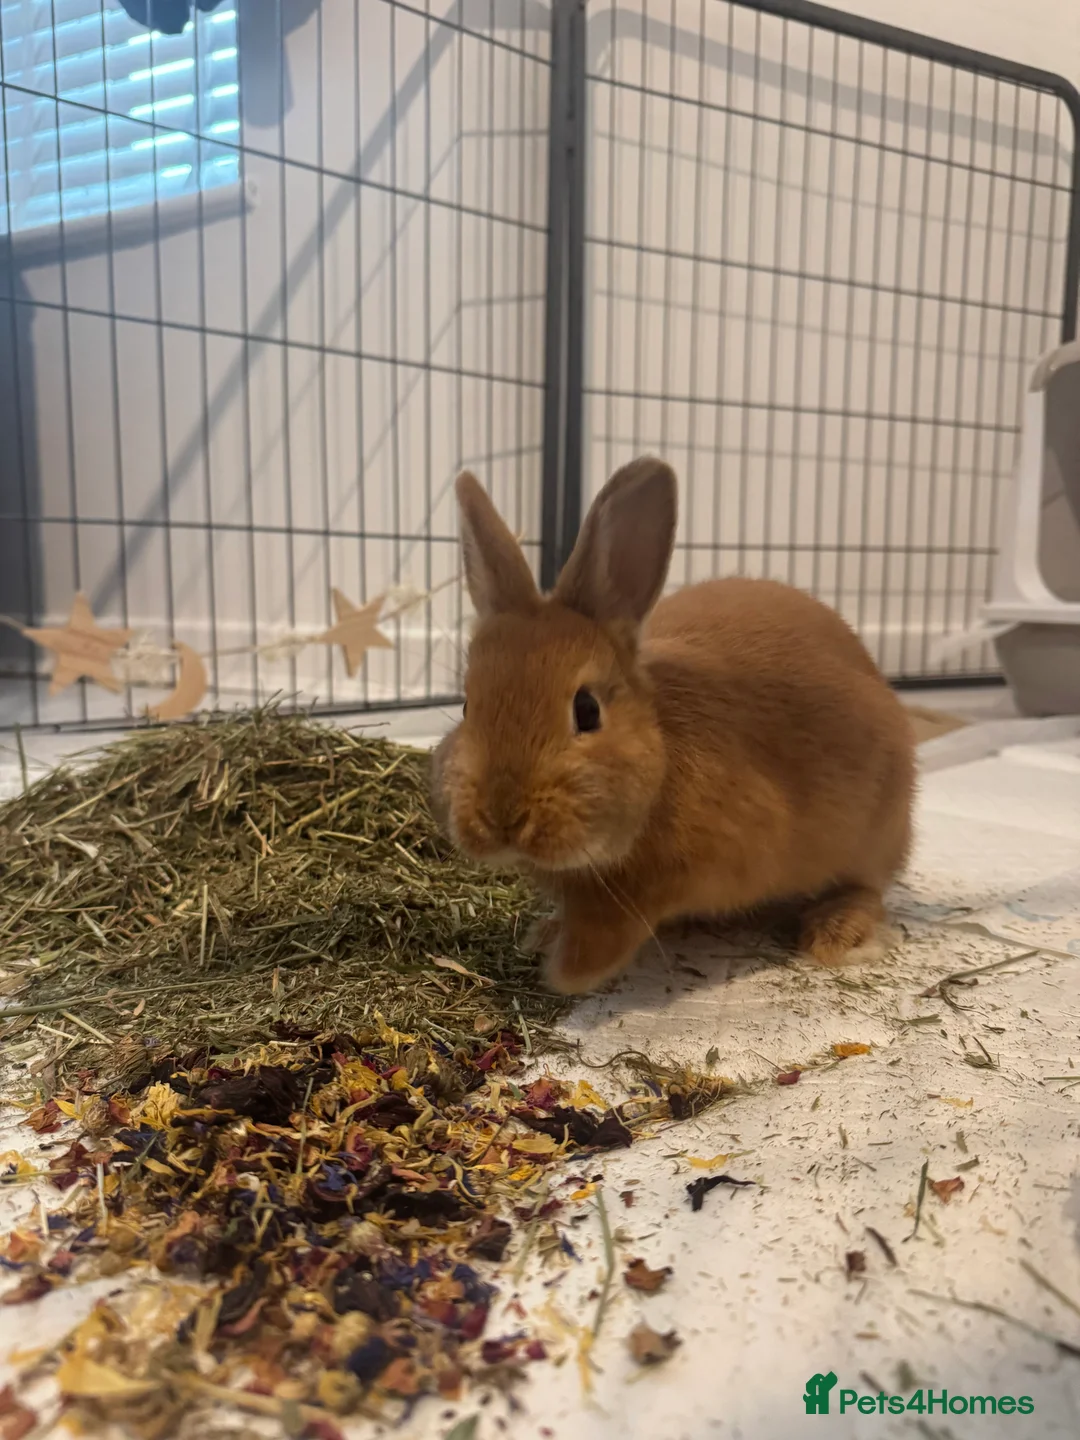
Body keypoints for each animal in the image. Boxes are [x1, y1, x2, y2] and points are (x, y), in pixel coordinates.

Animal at [429, 456, 916, 995]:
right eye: (467, 706)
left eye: (587, 710)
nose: (502, 818)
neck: (661, 749)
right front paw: (545, 935)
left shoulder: (662, 881)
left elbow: (610, 929)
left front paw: (564, 972)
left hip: (875, 831)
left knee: (868, 886)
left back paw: (834, 933)